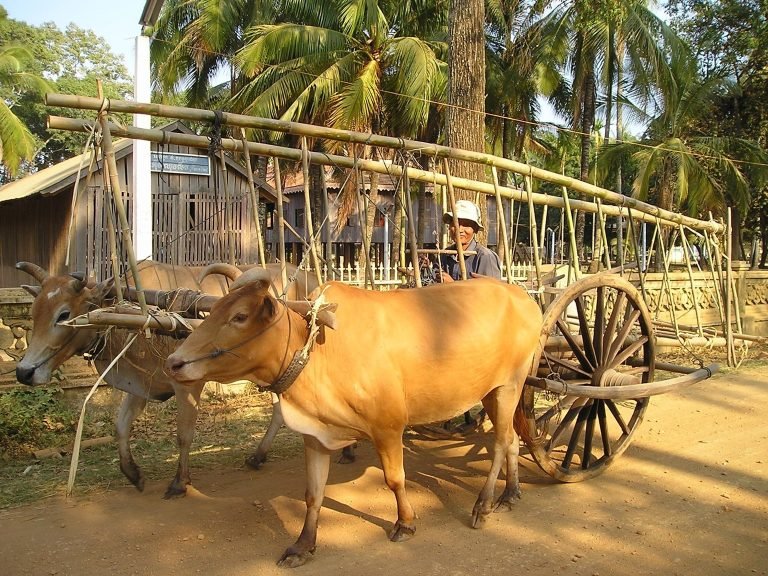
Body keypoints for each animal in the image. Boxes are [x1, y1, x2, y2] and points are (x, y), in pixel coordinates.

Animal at [14, 260, 321, 498]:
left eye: (63, 314)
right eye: (33, 313)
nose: (23, 372)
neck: (137, 316)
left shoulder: (187, 384)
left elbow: (183, 435)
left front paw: (179, 482)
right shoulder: (140, 385)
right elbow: (120, 426)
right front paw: (133, 473)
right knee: (280, 411)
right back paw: (259, 456)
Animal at [165, 276, 543, 567]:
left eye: (240, 316)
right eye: (213, 310)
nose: (174, 362)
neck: (318, 350)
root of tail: (523, 296)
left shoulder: (388, 427)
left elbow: (395, 480)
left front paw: (405, 523)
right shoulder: (315, 437)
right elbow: (313, 494)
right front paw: (302, 546)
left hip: (509, 385)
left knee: (500, 442)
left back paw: (483, 505)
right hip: (493, 391)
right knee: (512, 439)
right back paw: (510, 493)